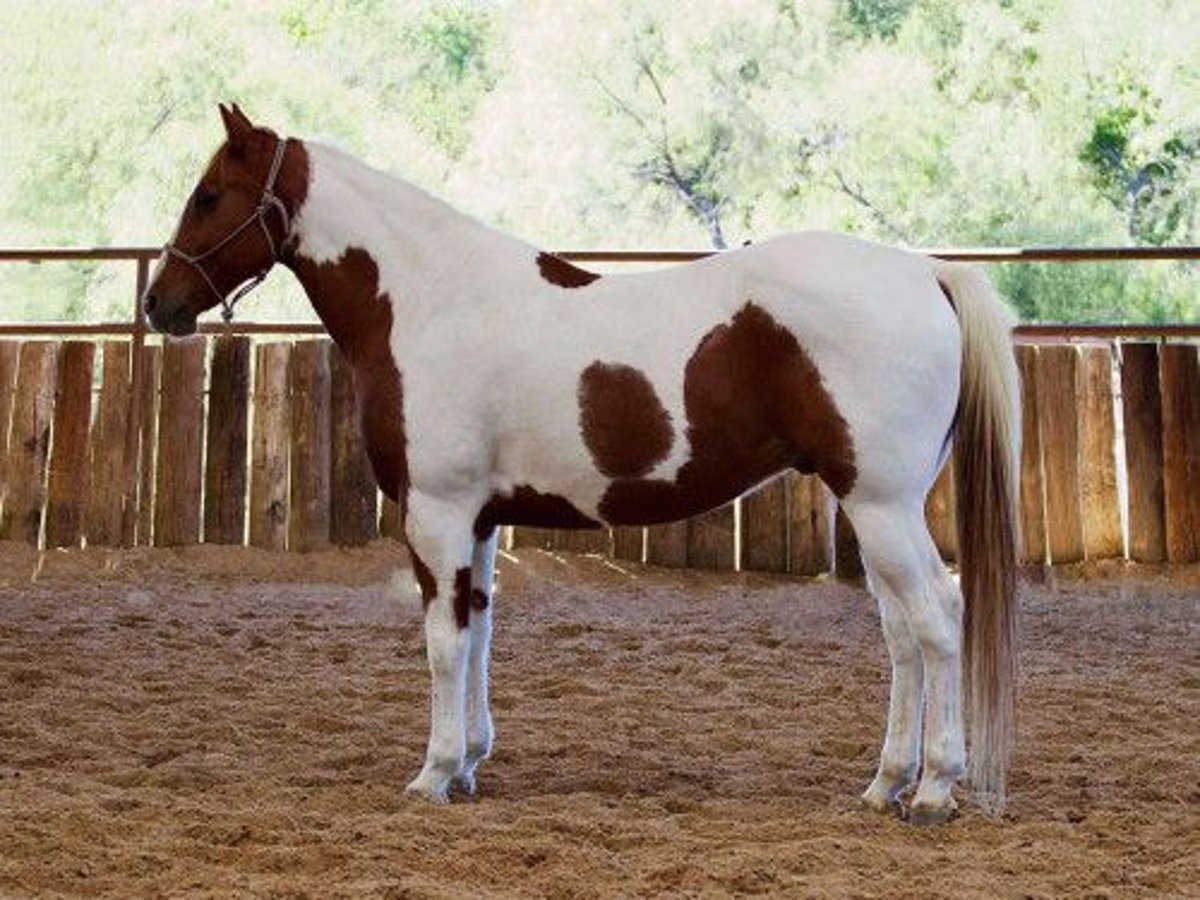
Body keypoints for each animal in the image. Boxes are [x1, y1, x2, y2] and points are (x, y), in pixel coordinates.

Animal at [142, 103, 1022, 825]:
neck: (431, 300)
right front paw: (468, 764)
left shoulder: (437, 513)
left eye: (210, 194)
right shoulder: (480, 522)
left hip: (883, 505)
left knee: (937, 619)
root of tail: (925, 270)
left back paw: (935, 789)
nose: (159, 304)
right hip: (872, 509)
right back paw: (886, 784)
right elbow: (479, 633)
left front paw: (433, 774)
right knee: (903, 634)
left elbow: (443, 642)